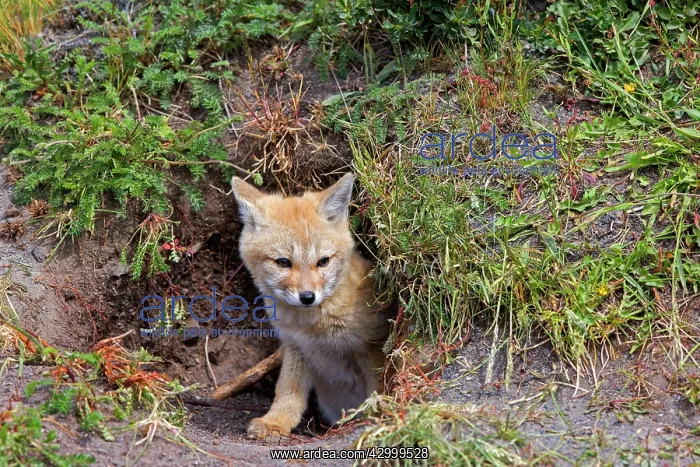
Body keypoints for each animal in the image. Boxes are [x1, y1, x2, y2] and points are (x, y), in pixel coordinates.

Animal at [230, 173, 391, 440]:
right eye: (283, 262)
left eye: (323, 261)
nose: (307, 297)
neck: (313, 328)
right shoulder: (296, 347)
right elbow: (287, 393)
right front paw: (275, 422)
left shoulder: (371, 346)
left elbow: (377, 389)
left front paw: (375, 417)